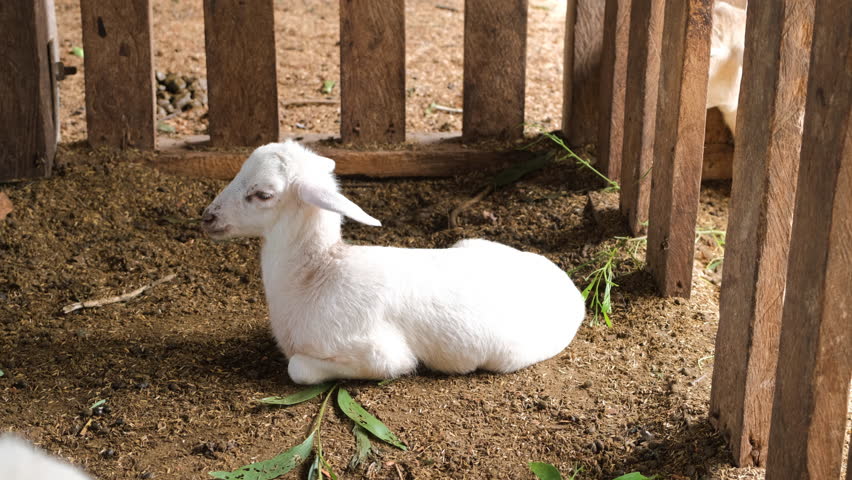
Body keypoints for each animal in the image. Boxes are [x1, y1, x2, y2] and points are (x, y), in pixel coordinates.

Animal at [202, 141, 586, 385]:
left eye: (262, 194)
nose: (207, 217)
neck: (314, 276)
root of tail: (572, 290)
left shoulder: (380, 354)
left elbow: (298, 368)